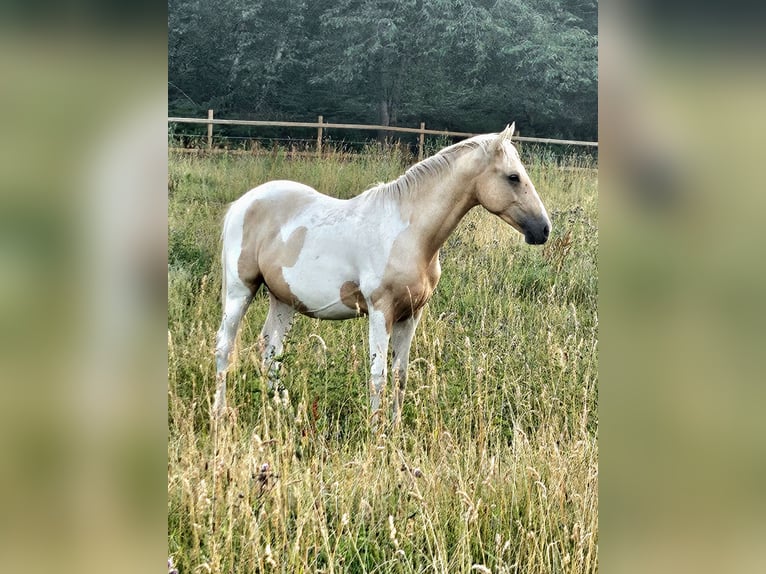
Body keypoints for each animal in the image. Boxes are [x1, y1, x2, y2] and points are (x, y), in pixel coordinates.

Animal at [212, 124, 551, 426]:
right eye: (513, 176)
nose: (543, 230)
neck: (408, 232)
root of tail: (243, 203)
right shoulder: (380, 312)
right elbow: (379, 375)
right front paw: (376, 432)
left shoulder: (411, 315)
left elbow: (400, 374)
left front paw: (395, 428)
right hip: (241, 290)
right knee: (225, 346)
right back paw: (221, 412)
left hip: (283, 298)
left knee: (270, 351)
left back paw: (282, 410)